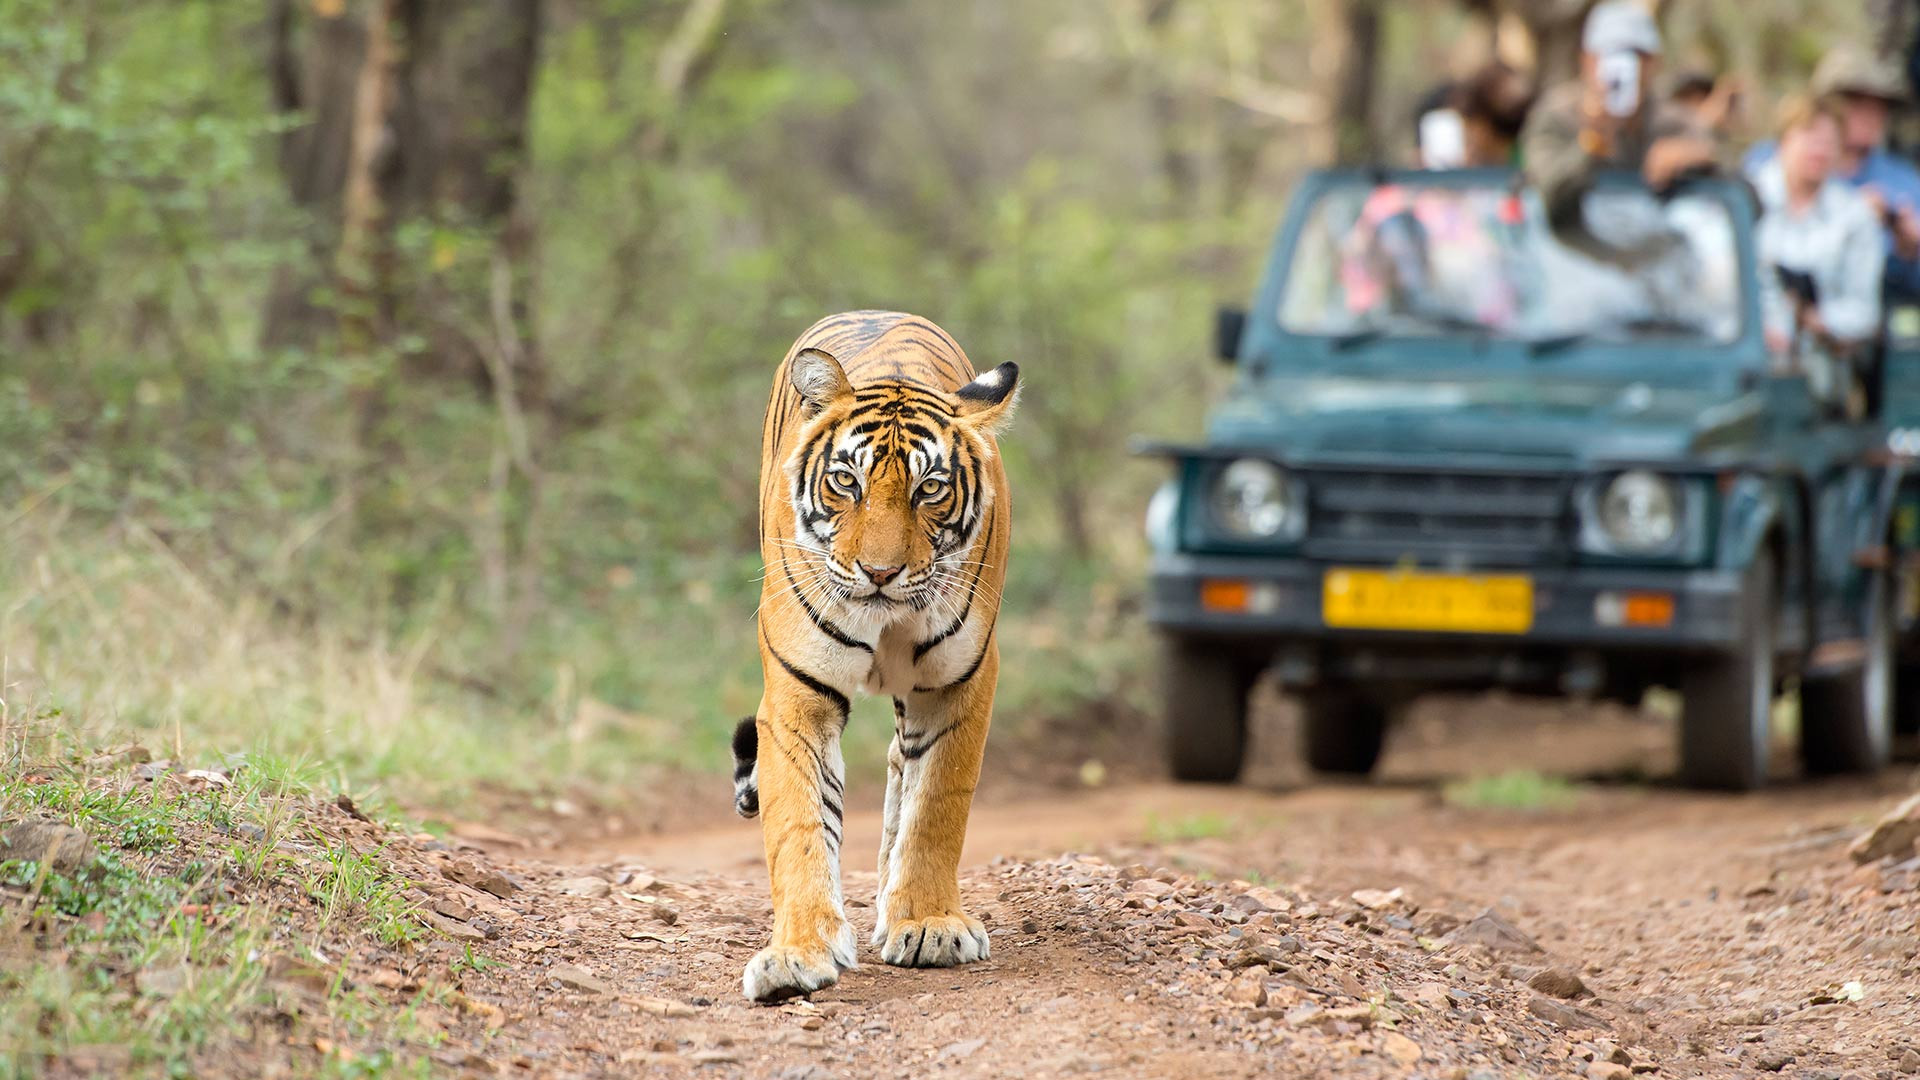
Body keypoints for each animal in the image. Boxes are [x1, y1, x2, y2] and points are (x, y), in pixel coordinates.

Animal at [725, 307, 1021, 999]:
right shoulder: (797, 693)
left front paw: (929, 923)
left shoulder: (959, 683)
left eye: (930, 489)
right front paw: (797, 954)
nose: (880, 573)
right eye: (846, 481)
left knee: (900, 768)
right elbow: (800, 822)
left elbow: (936, 805)